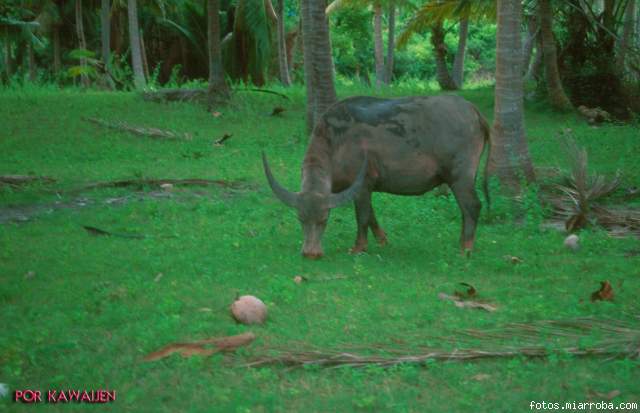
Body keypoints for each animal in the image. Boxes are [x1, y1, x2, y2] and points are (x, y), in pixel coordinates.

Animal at [260, 95, 490, 260]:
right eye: (300, 218)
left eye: (324, 219)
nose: (311, 253)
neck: (335, 143)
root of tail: (474, 112)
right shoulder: (362, 189)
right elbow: (371, 214)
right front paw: (382, 240)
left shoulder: (363, 184)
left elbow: (362, 217)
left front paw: (359, 247)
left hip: (460, 176)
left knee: (472, 206)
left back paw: (466, 249)